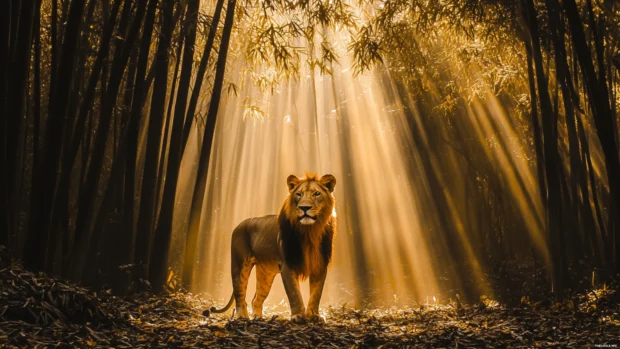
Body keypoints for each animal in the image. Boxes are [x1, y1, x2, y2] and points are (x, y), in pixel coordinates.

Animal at [207, 172, 334, 320]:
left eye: (317, 193)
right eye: (299, 194)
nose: (304, 208)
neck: (310, 232)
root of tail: (239, 224)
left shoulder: (320, 265)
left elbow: (316, 293)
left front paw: (314, 316)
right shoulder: (287, 265)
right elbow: (294, 293)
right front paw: (298, 316)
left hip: (265, 274)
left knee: (256, 299)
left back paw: (258, 318)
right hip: (239, 264)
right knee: (240, 294)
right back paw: (242, 317)